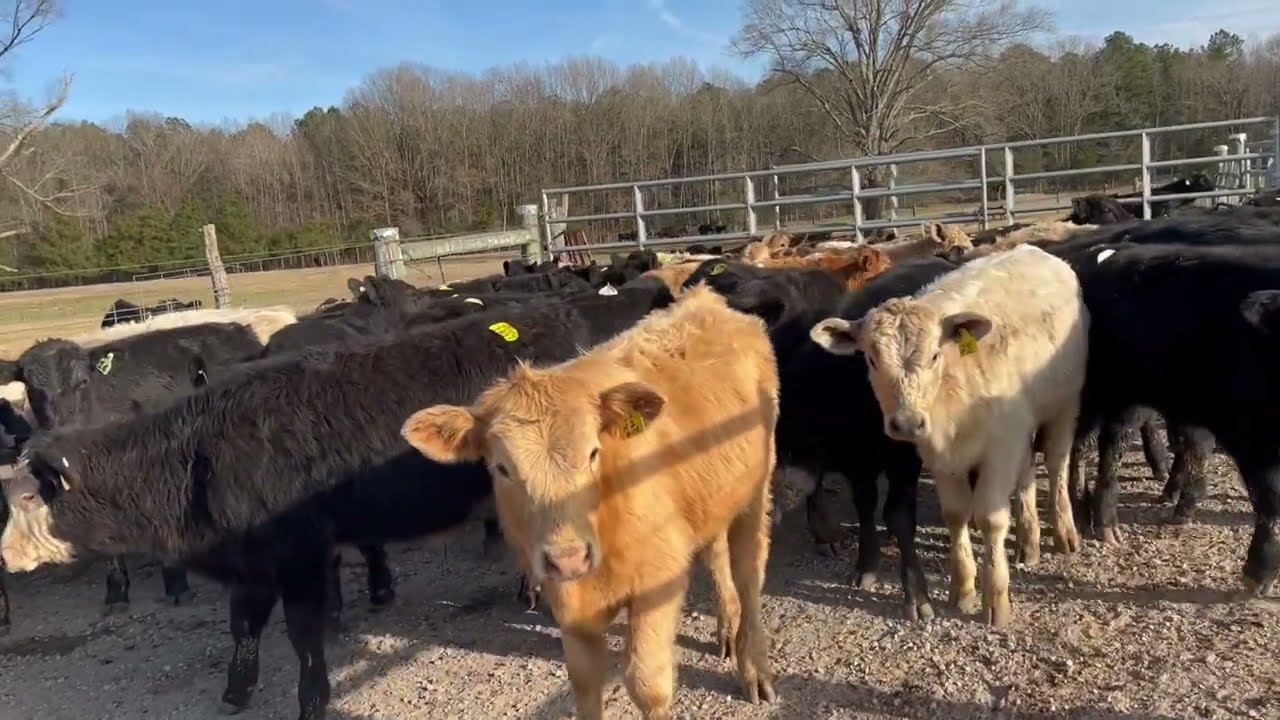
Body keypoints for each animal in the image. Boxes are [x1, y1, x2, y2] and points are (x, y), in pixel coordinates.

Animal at [401, 286, 779, 718]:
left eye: (593, 453)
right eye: (501, 468)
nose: (568, 558)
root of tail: (705, 299)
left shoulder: (658, 581)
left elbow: (648, 683)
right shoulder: (570, 606)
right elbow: (584, 683)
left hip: (756, 491)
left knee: (749, 572)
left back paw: (753, 667)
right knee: (716, 553)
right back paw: (726, 627)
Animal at [811, 244, 1088, 627]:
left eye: (934, 354)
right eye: (871, 359)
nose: (906, 423)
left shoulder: (999, 448)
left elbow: (990, 518)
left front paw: (995, 599)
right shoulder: (942, 456)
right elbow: (956, 515)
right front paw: (964, 588)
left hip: (1064, 405)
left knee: (1058, 463)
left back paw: (1063, 531)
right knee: (1027, 474)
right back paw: (1028, 540)